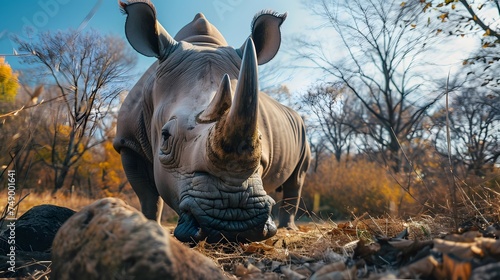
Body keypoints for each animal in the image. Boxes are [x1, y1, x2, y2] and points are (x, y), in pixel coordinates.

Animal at [114, 0, 308, 243]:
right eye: (165, 137)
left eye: (261, 139)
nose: (234, 222)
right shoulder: (127, 143)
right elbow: (148, 197)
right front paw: (150, 227)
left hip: (303, 132)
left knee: (297, 178)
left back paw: (289, 229)